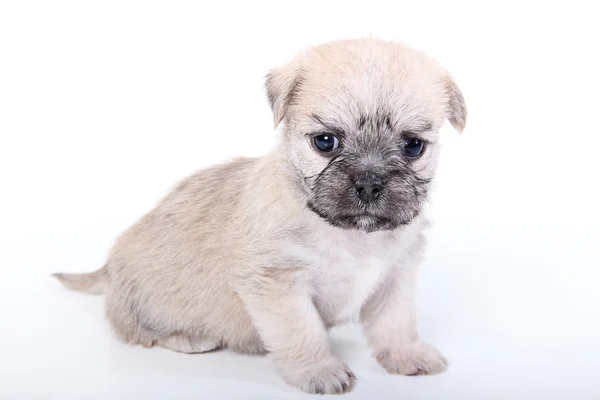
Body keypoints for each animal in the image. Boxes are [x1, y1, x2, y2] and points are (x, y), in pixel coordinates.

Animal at [54, 37, 466, 394]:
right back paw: (189, 337)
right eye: (325, 142)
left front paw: (407, 355)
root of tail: (108, 268)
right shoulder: (279, 286)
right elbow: (304, 332)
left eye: (413, 146)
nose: (368, 182)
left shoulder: (394, 278)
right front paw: (319, 370)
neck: (350, 235)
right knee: (132, 329)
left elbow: (396, 323)